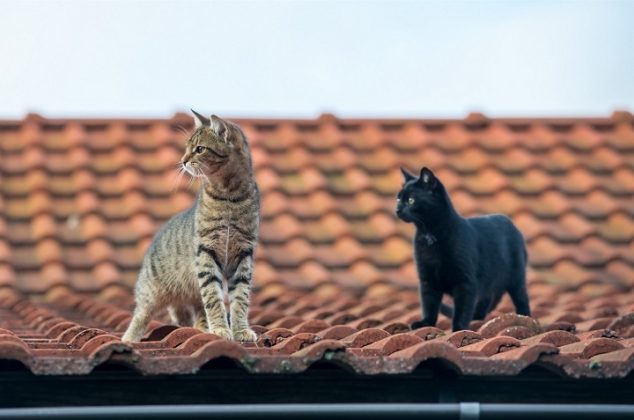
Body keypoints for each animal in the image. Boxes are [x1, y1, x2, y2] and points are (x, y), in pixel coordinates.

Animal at [121, 110, 260, 342]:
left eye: (200, 149)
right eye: (187, 148)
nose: (183, 160)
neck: (228, 195)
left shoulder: (244, 252)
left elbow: (241, 298)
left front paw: (240, 329)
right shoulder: (206, 250)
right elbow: (213, 298)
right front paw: (220, 329)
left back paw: (201, 326)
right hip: (152, 289)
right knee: (141, 313)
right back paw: (129, 337)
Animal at [396, 167, 528, 332]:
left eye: (411, 200)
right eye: (398, 199)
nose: (397, 209)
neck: (430, 235)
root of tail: (512, 224)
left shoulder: (465, 282)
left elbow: (462, 309)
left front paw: (458, 329)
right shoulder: (427, 280)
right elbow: (429, 304)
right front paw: (426, 322)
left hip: (516, 278)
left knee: (522, 299)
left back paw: (525, 317)